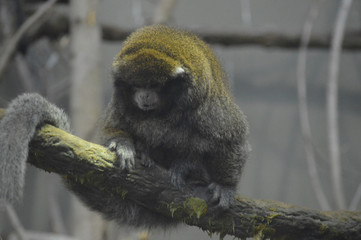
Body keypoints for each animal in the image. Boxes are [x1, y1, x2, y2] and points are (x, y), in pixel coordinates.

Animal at [0, 24, 249, 229]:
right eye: (137, 85)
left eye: (154, 86)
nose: (145, 96)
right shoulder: (121, 98)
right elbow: (113, 127)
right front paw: (124, 146)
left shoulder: (205, 105)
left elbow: (231, 138)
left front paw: (225, 186)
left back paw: (186, 166)